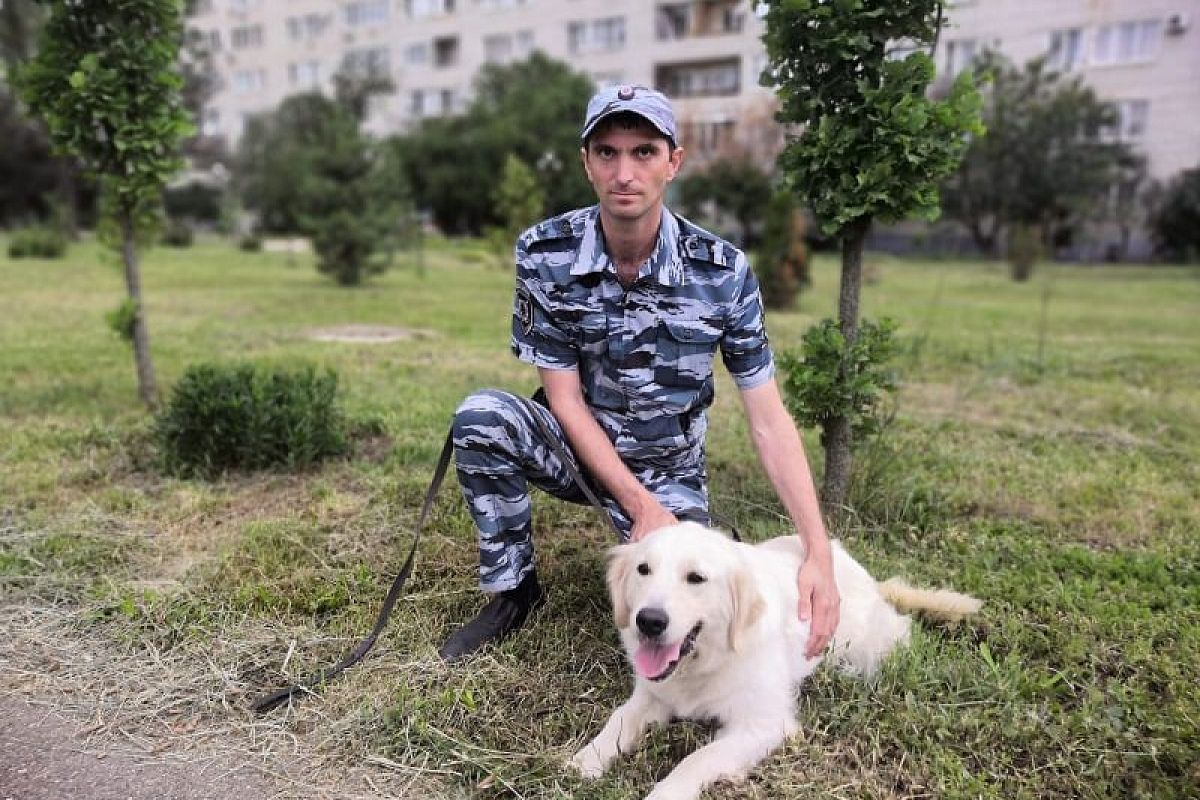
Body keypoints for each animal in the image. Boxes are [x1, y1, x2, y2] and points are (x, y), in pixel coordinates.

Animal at [566, 522, 979, 796]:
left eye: (696, 578)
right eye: (643, 570)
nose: (648, 621)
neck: (705, 661)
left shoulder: (763, 726)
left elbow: (694, 760)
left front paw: (664, 794)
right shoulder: (651, 697)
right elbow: (617, 722)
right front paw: (583, 762)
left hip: (867, 643)